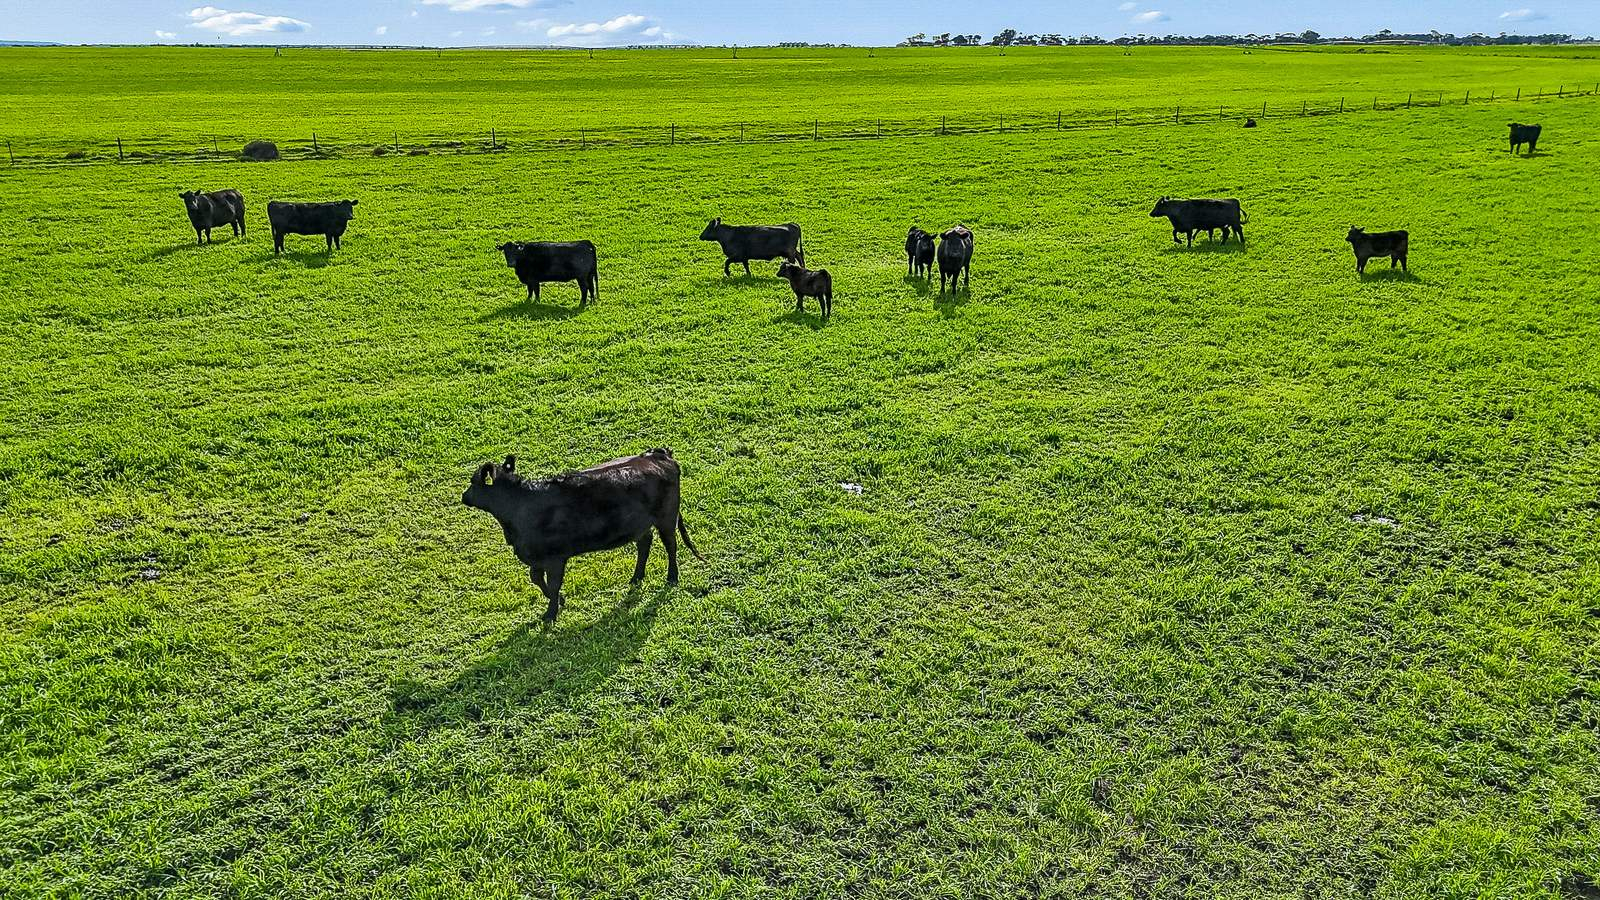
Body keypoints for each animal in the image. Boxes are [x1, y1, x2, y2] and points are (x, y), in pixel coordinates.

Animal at [461, 448, 703, 624]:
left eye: (473, 482)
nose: (464, 496)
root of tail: (658, 454)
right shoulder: (537, 556)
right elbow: (536, 578)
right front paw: (559, 601)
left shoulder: (555, 558)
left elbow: (552, 583)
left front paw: (550, 613)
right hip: (641, 525)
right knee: (644, 544)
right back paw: (636, 577)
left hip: (666, 518)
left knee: (670, 545)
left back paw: (672, 577)